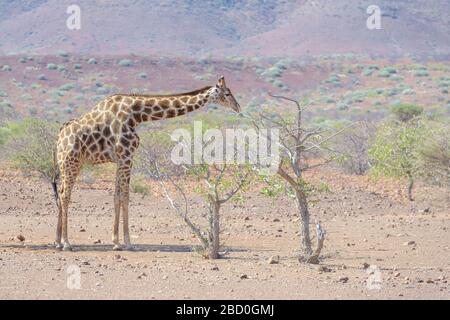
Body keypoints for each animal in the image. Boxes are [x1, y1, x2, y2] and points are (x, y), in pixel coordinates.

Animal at [55, 76, 241, 251]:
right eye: (227, 93)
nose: (238, 106)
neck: (137, 114)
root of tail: (59, 137)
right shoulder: (126, 156)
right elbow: (125, 196)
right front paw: (127, 243)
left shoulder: (121, 159)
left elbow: (116, 196)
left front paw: (116, 241)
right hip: (71, 163)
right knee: (65, 195)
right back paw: (66, 243)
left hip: (67, 164)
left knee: (60, 192)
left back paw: (57, 241)